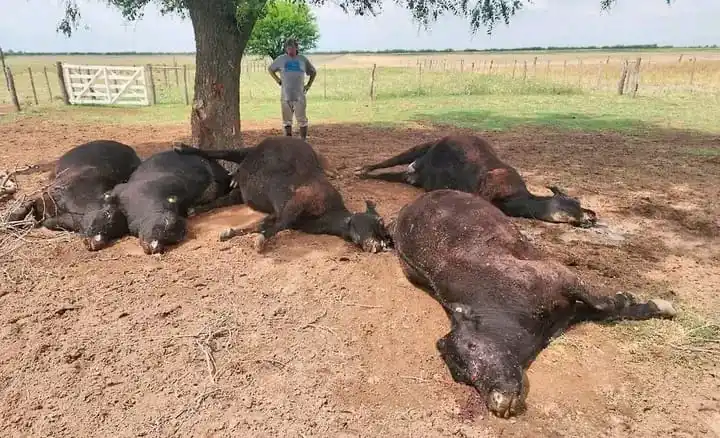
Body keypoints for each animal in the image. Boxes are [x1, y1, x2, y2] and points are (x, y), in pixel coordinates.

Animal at [6, 140, 141, 245]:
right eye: (107, 213)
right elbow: (26, 205)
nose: (98, 241)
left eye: (117, 233)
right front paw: (9, 221)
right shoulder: (49, 193)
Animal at [172, 136, 393, 253]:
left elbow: (261, 223)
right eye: (378, 221)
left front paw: (231, 232)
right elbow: (280, 223)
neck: (329, 214)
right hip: (247, 151)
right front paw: (260, 241)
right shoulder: (299, 200)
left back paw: (196, 209)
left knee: (225, 198)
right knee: (224, 152)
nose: (378, 245)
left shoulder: (281, 212)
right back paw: (181, 147)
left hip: (242, 193)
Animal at [355, 134, 597, 228]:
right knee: (386, 162)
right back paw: (361, 169)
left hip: (409, 177)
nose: (591, 217)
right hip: (416, 149)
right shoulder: (485, 189)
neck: (518, 198)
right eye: (572, 203)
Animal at [391, 189, 676, 418]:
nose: (496, 401)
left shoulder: (560, 275)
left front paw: (656, 304)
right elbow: (608, 310)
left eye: (472, 346)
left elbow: (607, 305)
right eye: (459, 375)